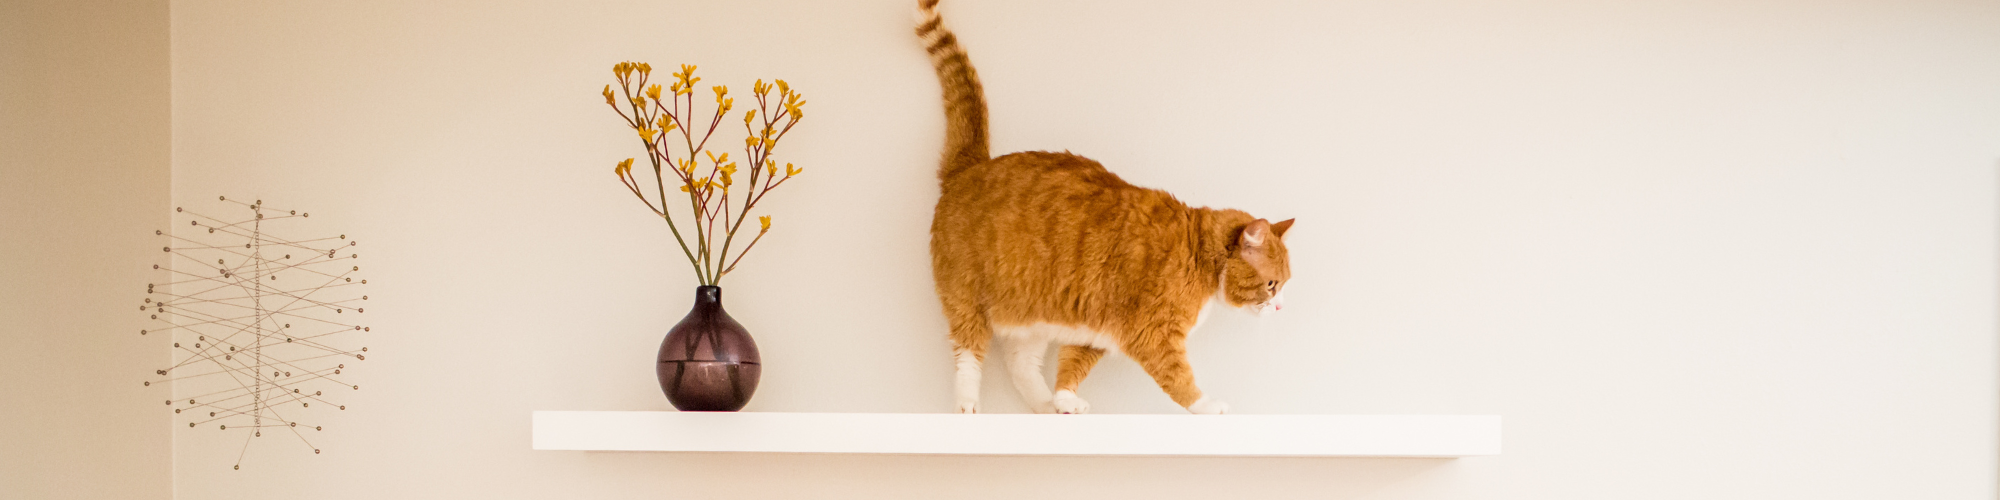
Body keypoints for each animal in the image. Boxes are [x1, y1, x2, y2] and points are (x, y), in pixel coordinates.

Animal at [916, 0, 1296, 414]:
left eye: (1283, 284)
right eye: (1272, 284)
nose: (1280, 308)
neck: (1197, 252)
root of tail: (970, 166)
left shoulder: (1096, 333)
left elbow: (1071, 365)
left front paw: (1064, 399)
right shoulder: (1151, 334)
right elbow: (1180, 380)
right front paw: (1208, 405)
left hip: (1030, 320)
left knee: (1021, 365)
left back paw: (1046, 406)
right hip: (966, 300)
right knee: (968, 352)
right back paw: (968, 402)